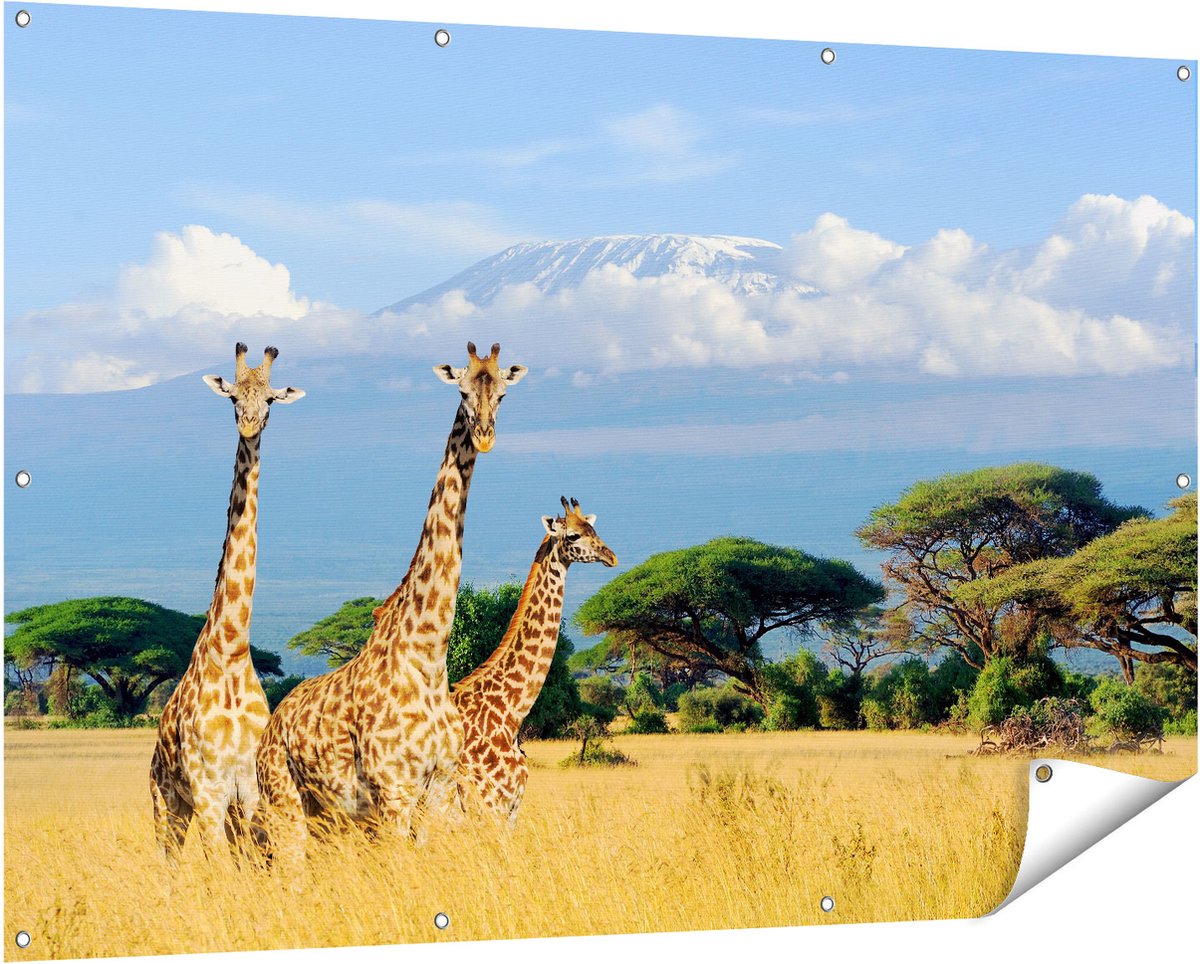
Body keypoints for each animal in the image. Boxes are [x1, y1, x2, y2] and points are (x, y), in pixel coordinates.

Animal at [149, 343, 305, 864]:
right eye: (233, 397)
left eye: (271, 400)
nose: (250, 424)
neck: (233, 648)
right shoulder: (209, 791)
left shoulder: (249, 792)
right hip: (166, 802)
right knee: (169, 863)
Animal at [255, 342, 527, 863]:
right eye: (462, 391)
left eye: (503, 393)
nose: (484, 437)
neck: (428, 655)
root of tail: (272, 726)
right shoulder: (395, 793)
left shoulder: (438, 791)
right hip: (285, 801)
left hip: (330, 817)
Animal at [452, 497, 617, 823]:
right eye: (573, 536)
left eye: (594, 529)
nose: (611, 556)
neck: (510, 714)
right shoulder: (491, 806)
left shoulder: (511, 810)